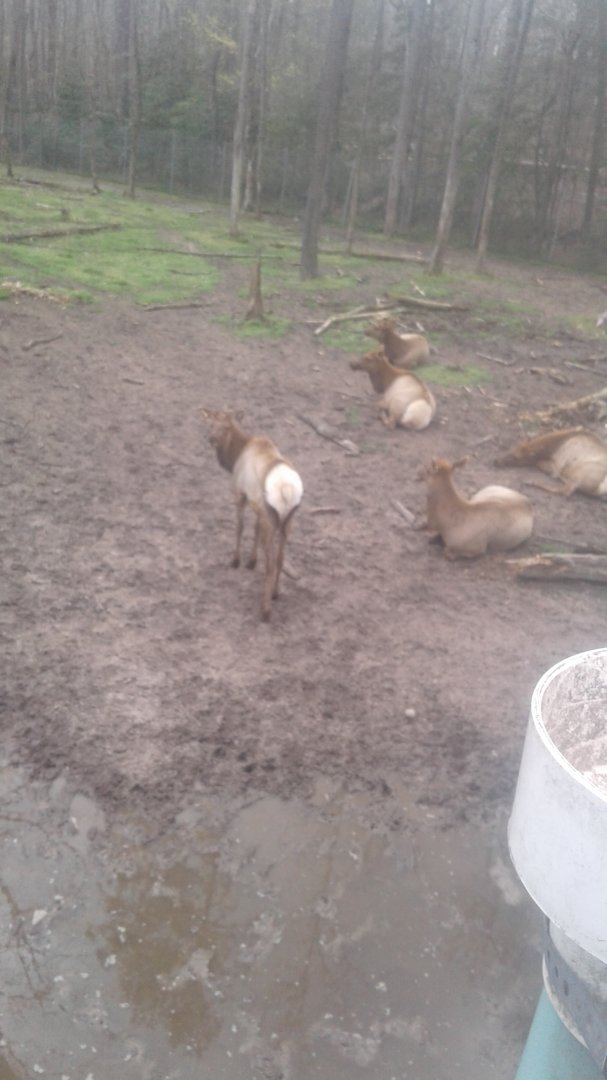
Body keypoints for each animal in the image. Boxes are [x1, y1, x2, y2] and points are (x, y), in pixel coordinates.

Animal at [200, 409, 303, 621]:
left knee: (270, 564)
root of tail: (287, 490)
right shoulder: (259, 508)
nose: (211, 439)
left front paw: (236, 561)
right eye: (210, 423)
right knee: (280, 558)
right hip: (288, 520)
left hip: (271, 520)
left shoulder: (240, 493)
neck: (234, 457)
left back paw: (265, 610)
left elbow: (240, 527)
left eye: (226, 426)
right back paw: (275, 593)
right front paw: (251, 562)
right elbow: (254, 529)